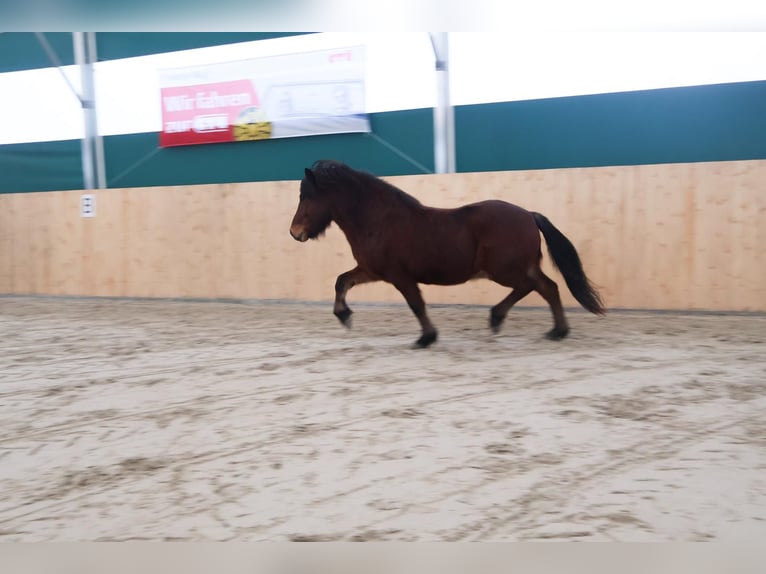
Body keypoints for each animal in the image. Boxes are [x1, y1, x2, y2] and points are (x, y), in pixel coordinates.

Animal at [288, 160, 608, 348]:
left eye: (308, 196)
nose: (295, 232)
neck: (378, 220)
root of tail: (529, 215)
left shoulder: (399, 276)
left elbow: (417, 304)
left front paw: (426, 338)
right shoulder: (372, 271)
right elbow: (341, 281)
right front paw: (344, 316)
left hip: (505, 270)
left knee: (537, 286)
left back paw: (514, 322)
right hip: (516, 268)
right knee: (546, 287)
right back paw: (550, 330)